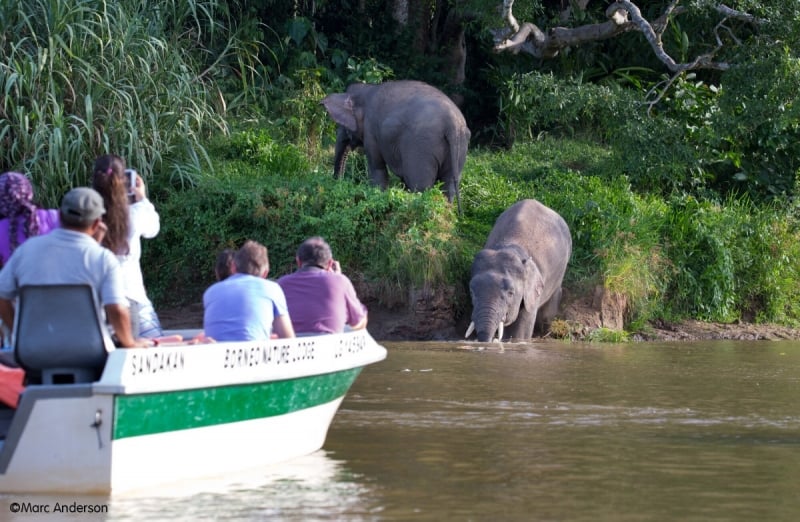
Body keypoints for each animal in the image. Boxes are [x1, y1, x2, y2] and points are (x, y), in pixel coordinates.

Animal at [318, 80, 468, 210]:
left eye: (341, 125)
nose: (339, 184)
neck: (366, 90)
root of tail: (451, 123)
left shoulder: (371, 131)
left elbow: (377, 168)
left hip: (421, 146)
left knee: (420, 186)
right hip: (459, 145)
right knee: (448, 186)